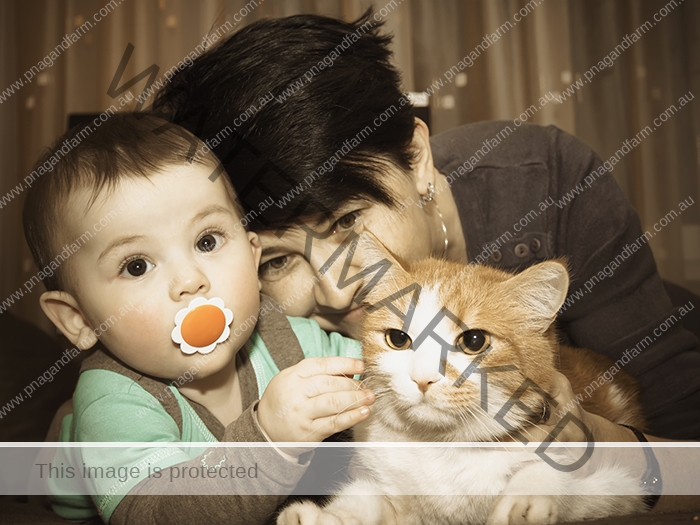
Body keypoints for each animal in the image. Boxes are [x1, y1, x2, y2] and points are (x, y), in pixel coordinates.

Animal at [278, 242, 644, 524]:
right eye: (398, 339)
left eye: (474, 341)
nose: (422, 378)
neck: (438, 449)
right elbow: (360, 499)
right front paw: (324, 517)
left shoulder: (619, 488)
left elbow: (553, 477)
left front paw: (527, 501)